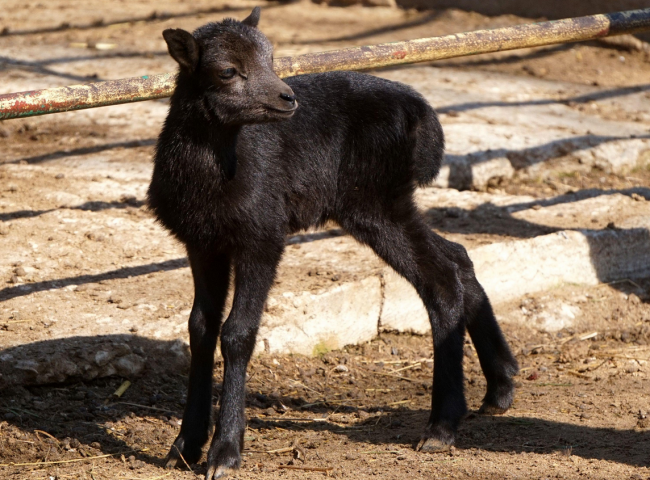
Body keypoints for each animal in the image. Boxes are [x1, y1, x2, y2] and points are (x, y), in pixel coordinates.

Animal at [149, 6, 520, 476]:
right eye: (228, 71)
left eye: (272, 59)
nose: (288, 97)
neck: (216, 170)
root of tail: (424, 116)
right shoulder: (202, 242)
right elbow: (200, 329)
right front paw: (184, 445)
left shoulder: (262, 235)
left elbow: (237, 333)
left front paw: (225, 452)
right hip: (381, 203)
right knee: (457, 258)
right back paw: (500, 384)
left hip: (375, 201)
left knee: (440, 280)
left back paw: (441, 426)